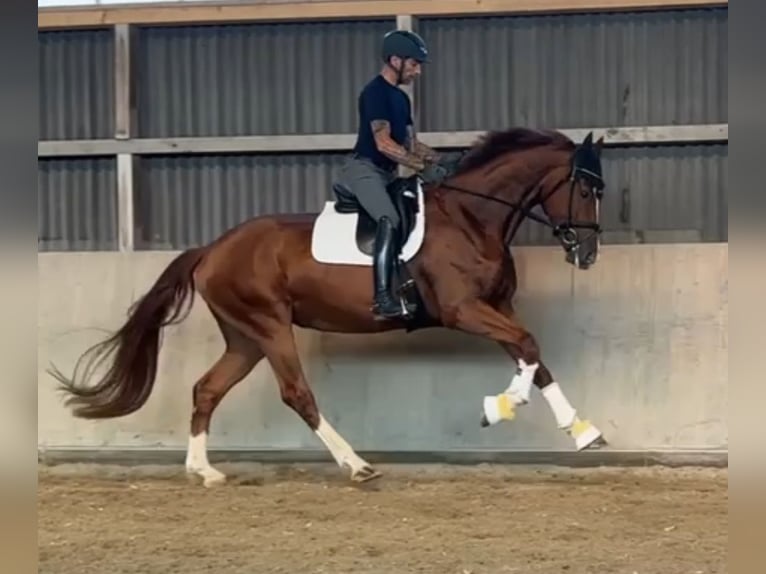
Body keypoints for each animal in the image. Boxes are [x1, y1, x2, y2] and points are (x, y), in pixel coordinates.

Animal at [51, 126, 608, 486]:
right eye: (584, 187)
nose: (587, 253)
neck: (472, 217)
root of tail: (212, 249)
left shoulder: (496, 307)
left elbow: (533, 356)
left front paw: (583, 432)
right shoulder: (463, 309)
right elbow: (528, 347)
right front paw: (501, 407)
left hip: (245, 338)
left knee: (206, 389)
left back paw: (203, 470)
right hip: (270, 326)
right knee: (296, 393)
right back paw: (356, 465)